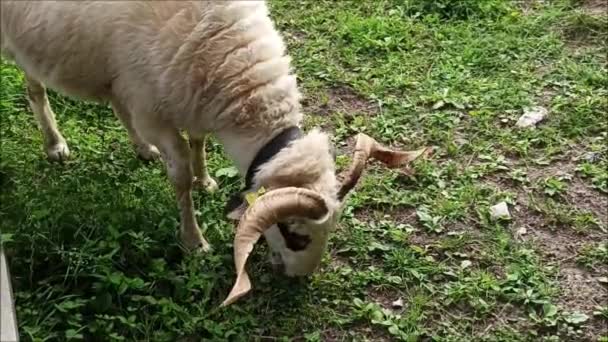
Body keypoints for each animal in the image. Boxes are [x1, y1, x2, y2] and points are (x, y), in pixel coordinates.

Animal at [1, 0, 428, 304]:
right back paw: (55, 144)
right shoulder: (155, 110)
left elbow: (198, 141)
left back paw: (141, 148)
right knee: (35, 89)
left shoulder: (187, 94)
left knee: (115, 102)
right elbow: (179, 176)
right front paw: (194, 241)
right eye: (293, 234)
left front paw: (206, 180)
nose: (300, 280)